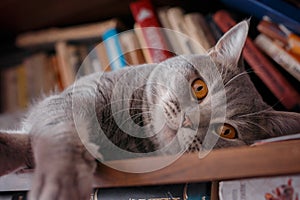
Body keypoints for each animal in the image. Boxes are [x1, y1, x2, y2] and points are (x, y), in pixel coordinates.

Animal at [0, 19, 300, 199]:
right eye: (199, 88)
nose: (189, 121)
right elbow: (58, 132)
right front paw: (61, 180)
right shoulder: (75, 97)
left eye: (227, 132)